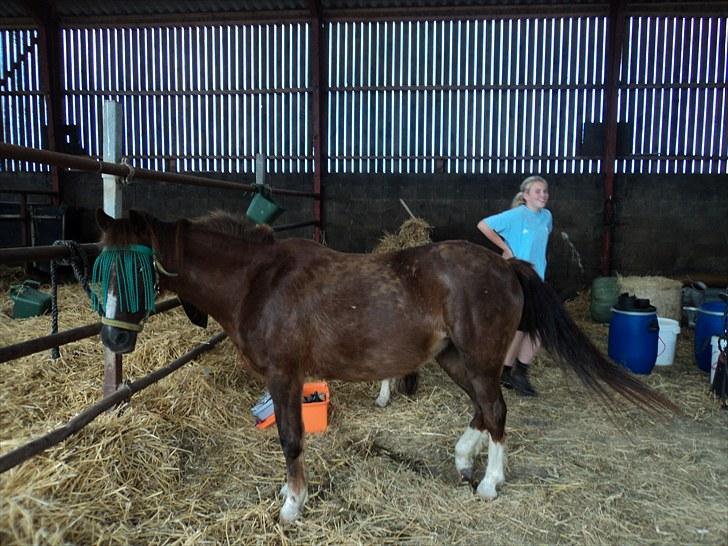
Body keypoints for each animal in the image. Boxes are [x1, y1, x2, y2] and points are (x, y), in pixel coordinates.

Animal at [94, 209, 676, 524]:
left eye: (139, 265)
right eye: (100, 265)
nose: (111, 337)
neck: (259, 280)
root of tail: (506, 265)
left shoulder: (285, 376)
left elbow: (290, 439)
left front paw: (292, 505)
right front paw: (289, 495)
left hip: (479, 358)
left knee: (496, 410)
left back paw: (489, 483)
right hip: (456, 359)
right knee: (481, 408)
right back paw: (463, 459)